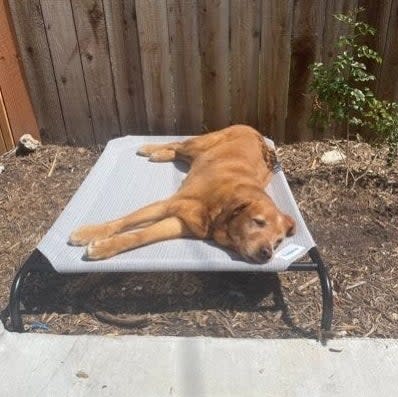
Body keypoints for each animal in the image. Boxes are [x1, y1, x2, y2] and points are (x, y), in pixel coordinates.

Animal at [70, 124, 296, 262]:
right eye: (258, 222)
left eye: (279, 241)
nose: (268, 253)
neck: (220, 205)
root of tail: (259, 136)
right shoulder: (167, 204)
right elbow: (124, 221)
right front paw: (89, 233)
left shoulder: (182, 223)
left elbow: (142, 235)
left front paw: (105, 247)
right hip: (199, 144)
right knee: (177, 144)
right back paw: (151, 148)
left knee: (179, 152)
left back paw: (160, 154)